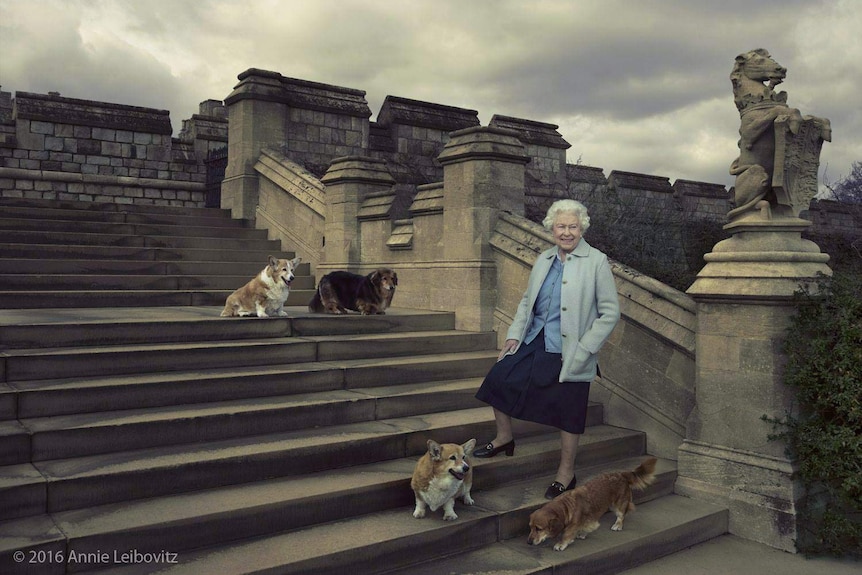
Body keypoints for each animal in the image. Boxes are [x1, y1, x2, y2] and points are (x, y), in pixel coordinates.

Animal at [528, 460, 660, 552]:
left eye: (539, 529)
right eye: (530, 527)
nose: (528, 542)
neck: (566, 506)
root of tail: (622, 474)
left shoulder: (573, 524)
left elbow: (567, 534)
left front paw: (561, 544)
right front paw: (582, 533)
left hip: (617, 505)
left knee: (622, 515)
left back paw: (618, 525)